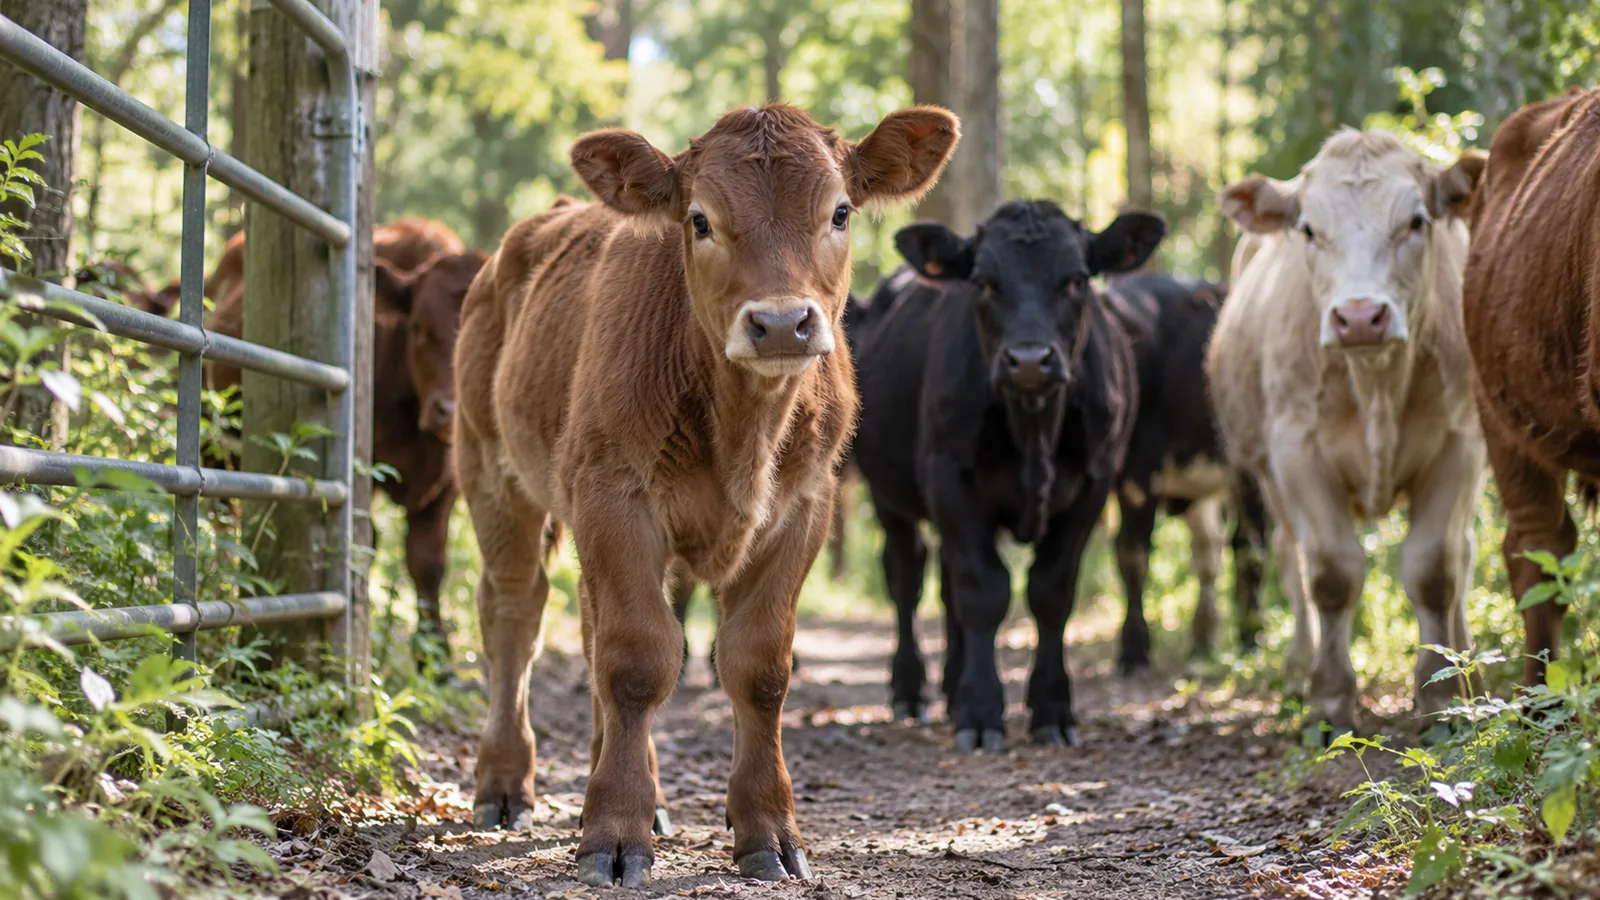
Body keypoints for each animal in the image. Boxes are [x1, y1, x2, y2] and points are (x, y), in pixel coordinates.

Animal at [202, 221, 486, 666]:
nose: (450, 410)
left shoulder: (447, 485)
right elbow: (366, 544)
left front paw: (436, 662)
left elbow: (428, 565)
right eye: (417, 327)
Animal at [453, 103, 957, 887]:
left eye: (840, 211)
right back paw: (506, 783)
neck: (743, 429)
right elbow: (637, 661)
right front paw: (616, 830)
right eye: (699, 220)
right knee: (515, 614)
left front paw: (767, 830)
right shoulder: (615, 497)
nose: (780, 323)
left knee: (589, 628)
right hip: (492, 468)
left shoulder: (803, 508)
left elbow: (758, 667)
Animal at [851, 201, 1165, 753]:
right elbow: (984, 590)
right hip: (889, 495)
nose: (1029, 360)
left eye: (1076, 279)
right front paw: (980, 712)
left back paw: (951, 685)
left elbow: (1051, 592)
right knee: (907, 578)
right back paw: (911, 690)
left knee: (947, 586)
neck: (1033, 425)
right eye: (983, 281)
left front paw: (1052, 708)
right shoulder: (949, 477)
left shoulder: (1093, 484)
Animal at [1105, 273, 1269, 670]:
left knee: (1248, 547)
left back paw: (1251, 634)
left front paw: (1134, 650)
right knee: (1209, 551)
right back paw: (1205, 635)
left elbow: (1132, 553)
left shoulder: (1140, 470)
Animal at [1209, 129, 1486, 737]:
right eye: (1309, 229)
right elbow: (1332, 573)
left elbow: (1436, 568)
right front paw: (1330, 698)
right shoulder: (1296, 451)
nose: (1359, 317)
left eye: (1417, 221)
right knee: (1290, 557)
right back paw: (1297, 670)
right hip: (1267, 475)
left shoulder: (1460, 445)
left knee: (1465, 554)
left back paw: (1473, 669)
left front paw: (1443, 696)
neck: (1376, 383)